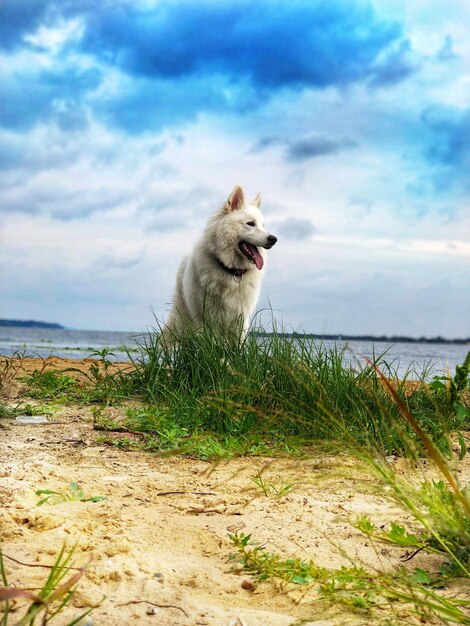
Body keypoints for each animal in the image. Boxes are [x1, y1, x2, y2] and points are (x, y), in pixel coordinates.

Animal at [164, 184, 276, 338]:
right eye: (250, 223)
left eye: (263, 226)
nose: (274, 239)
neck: (232, 272)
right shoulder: (207, 318)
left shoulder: (240, 318)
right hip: (183, 314)